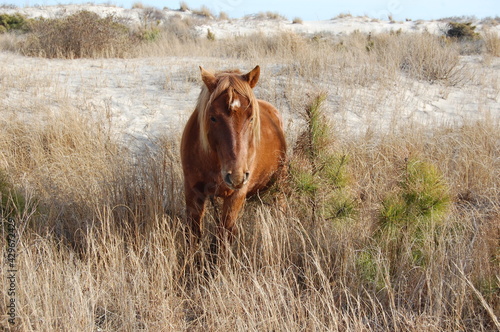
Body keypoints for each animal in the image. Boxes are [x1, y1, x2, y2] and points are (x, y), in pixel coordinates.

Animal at [182, 65, 288, 254]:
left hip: (280, 182)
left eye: (251, 117)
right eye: (213, 117)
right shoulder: (193, 191)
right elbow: (193, 236)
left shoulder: (235, 197)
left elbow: (222, 239)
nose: (236, 176)